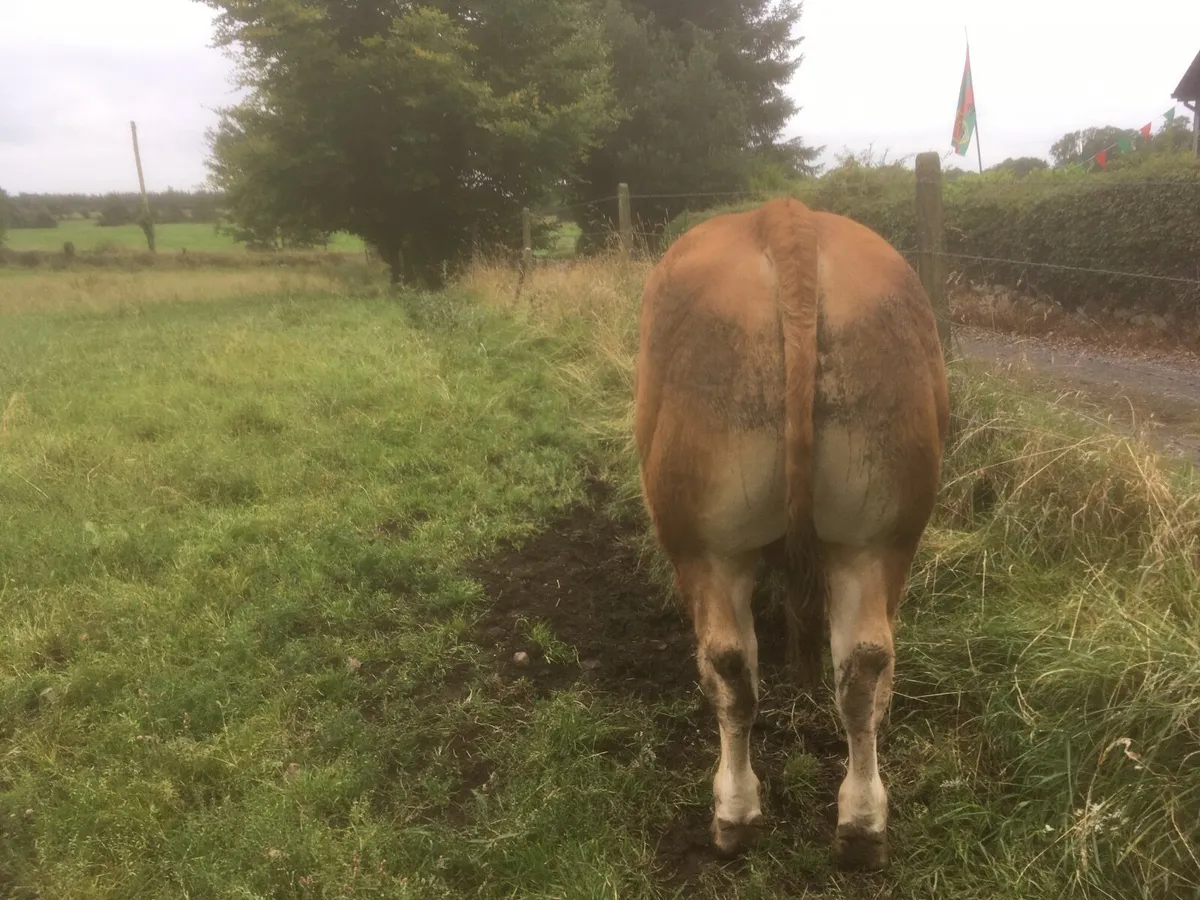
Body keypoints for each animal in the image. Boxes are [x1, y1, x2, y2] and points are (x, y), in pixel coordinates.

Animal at [633, 196, 949, 871]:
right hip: (878, 538)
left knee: (729, 666)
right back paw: (862, 823)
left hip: (706, 545)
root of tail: (786, 218)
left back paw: (734, 813)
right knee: (864, 663)